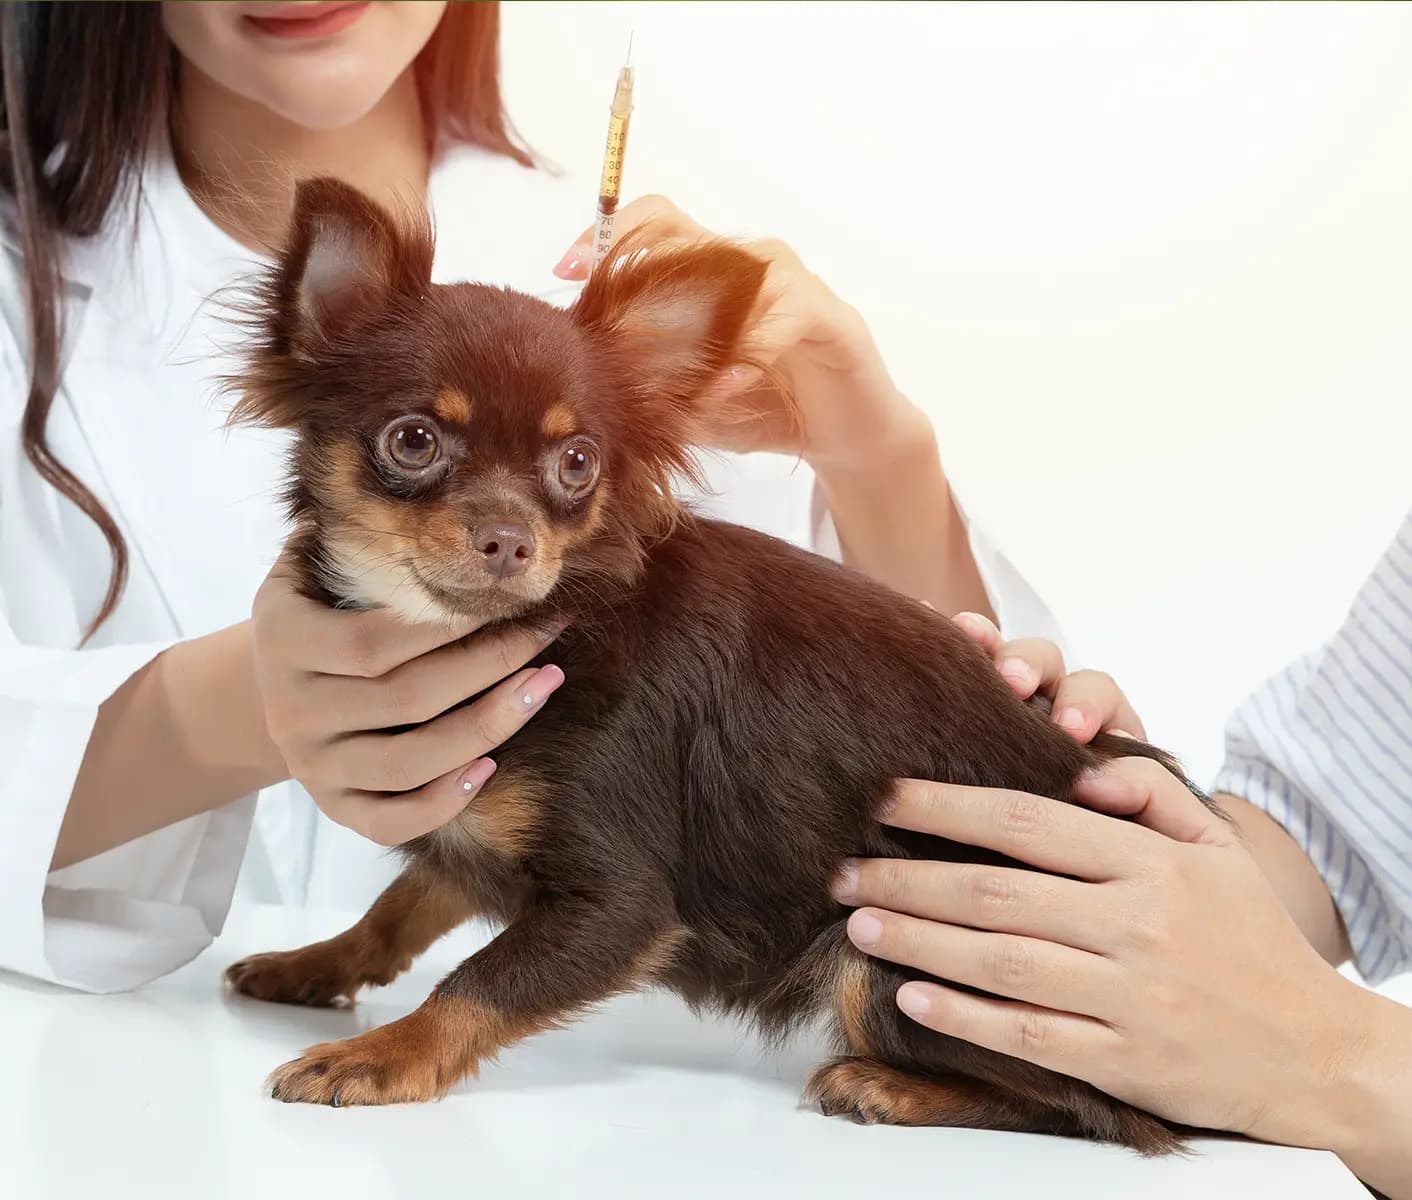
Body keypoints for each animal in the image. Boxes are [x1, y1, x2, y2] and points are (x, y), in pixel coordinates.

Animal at [225, 180, 1197, 1152]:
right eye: (414, 441)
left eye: (577, 463)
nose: (509, 539)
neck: (516, 634)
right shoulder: (471, 828)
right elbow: (401, 906)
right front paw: (315, 963)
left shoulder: (621, 905)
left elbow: (476, 985)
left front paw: (377, 1055)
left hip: (894, 950)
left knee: (1094, 1111)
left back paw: (888, 1088)